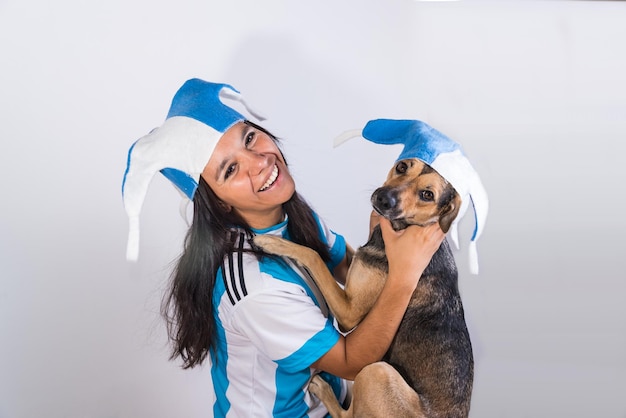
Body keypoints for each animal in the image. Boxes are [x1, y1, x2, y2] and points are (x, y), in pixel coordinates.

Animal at [251, 158, 470, 418]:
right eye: (403, 166)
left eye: (427, 194)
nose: (384, 199)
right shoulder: (357, 263)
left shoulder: (350, 313)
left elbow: (313, 255)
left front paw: (274, 241)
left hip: (377, 372)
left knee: (347, 414)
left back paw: (323, 389)